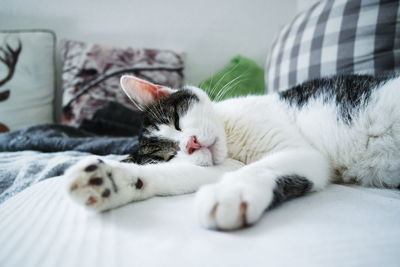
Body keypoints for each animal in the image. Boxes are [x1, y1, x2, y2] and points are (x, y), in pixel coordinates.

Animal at [65, 74, 400, 231]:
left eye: (176, 121)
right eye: (169, 156)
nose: (192, 144)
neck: (233, 140)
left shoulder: (297, 150)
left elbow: (260, 168)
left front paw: (230, 194)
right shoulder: (223, 164)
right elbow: (175, 176)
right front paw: (111, 180)